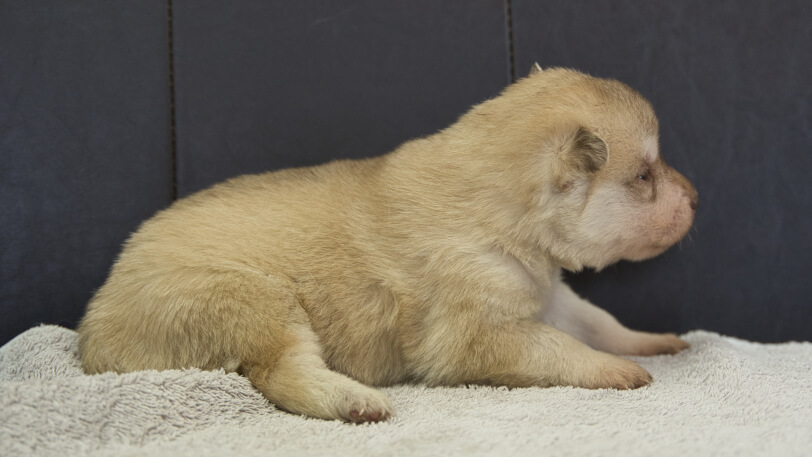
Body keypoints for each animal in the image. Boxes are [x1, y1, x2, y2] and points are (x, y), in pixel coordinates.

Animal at [77, 66, 696, 422]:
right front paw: (614, 369)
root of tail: (93, 333)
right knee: (280, 375)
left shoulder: (549, 296)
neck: (506, 215)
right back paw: (355, 400)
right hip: (255, 302)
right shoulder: (476, 337)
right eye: (644, 175)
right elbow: (559, 347)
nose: (696, 198)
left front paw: (650, 342)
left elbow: (598, 322)